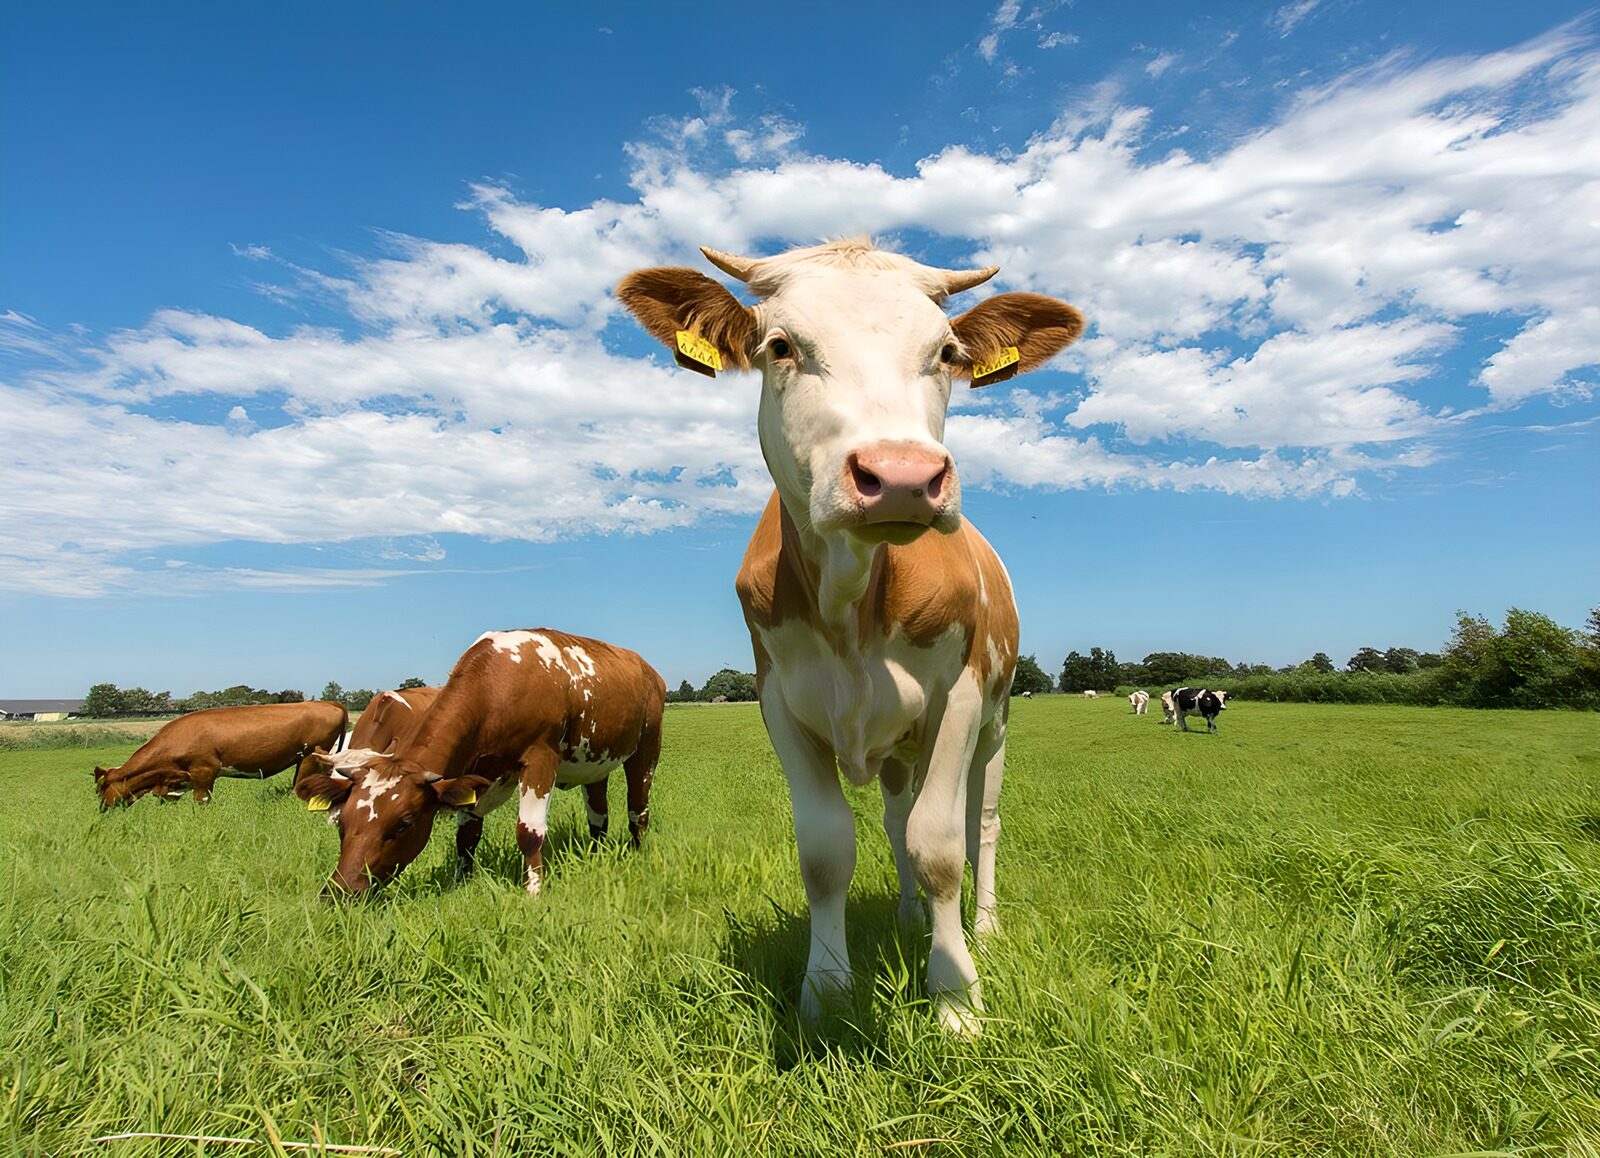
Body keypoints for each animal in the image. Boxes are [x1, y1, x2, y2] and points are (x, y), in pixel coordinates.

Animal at [93, 700, 347, 808]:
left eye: (101, 789)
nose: (102, 811)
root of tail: (325, 702)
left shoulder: (204, 771)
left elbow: (202, 801)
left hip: (311, 755)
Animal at [294, 629, 665, 897]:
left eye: (403, 824)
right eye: (342, 823)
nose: (340, 892)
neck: (498, 684)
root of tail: (647, 668)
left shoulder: (541, 757)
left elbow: (529, 832)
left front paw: (533, 892)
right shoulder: (474, 773)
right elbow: (467, 836)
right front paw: (461, 884)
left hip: (647, 749)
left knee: (638, 810)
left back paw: (638, 853)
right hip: (595, 762)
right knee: (598, 817)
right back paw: (596, 853)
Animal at [618, 238, 1084, 1033]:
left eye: (948, 352)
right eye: (780, 346)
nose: (901, 475)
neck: (850, 598)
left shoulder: (961, 698)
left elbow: (941, 846)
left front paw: (956, 996)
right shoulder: (780, 703)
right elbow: (828, 850)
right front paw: (827, 992)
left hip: (996, 722)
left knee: (981, 820)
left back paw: (983, 925)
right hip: (898, 749)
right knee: (897, 817)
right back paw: (907, 915)